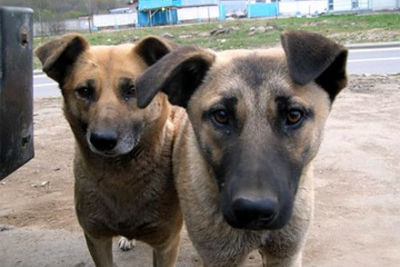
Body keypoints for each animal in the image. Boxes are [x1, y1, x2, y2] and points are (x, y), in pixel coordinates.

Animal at [35, 34, 184, 267]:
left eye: (132, 90)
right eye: (84, 91)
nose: (103, 141)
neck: (121, 176)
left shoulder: (166, 245)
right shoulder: (96, 239)